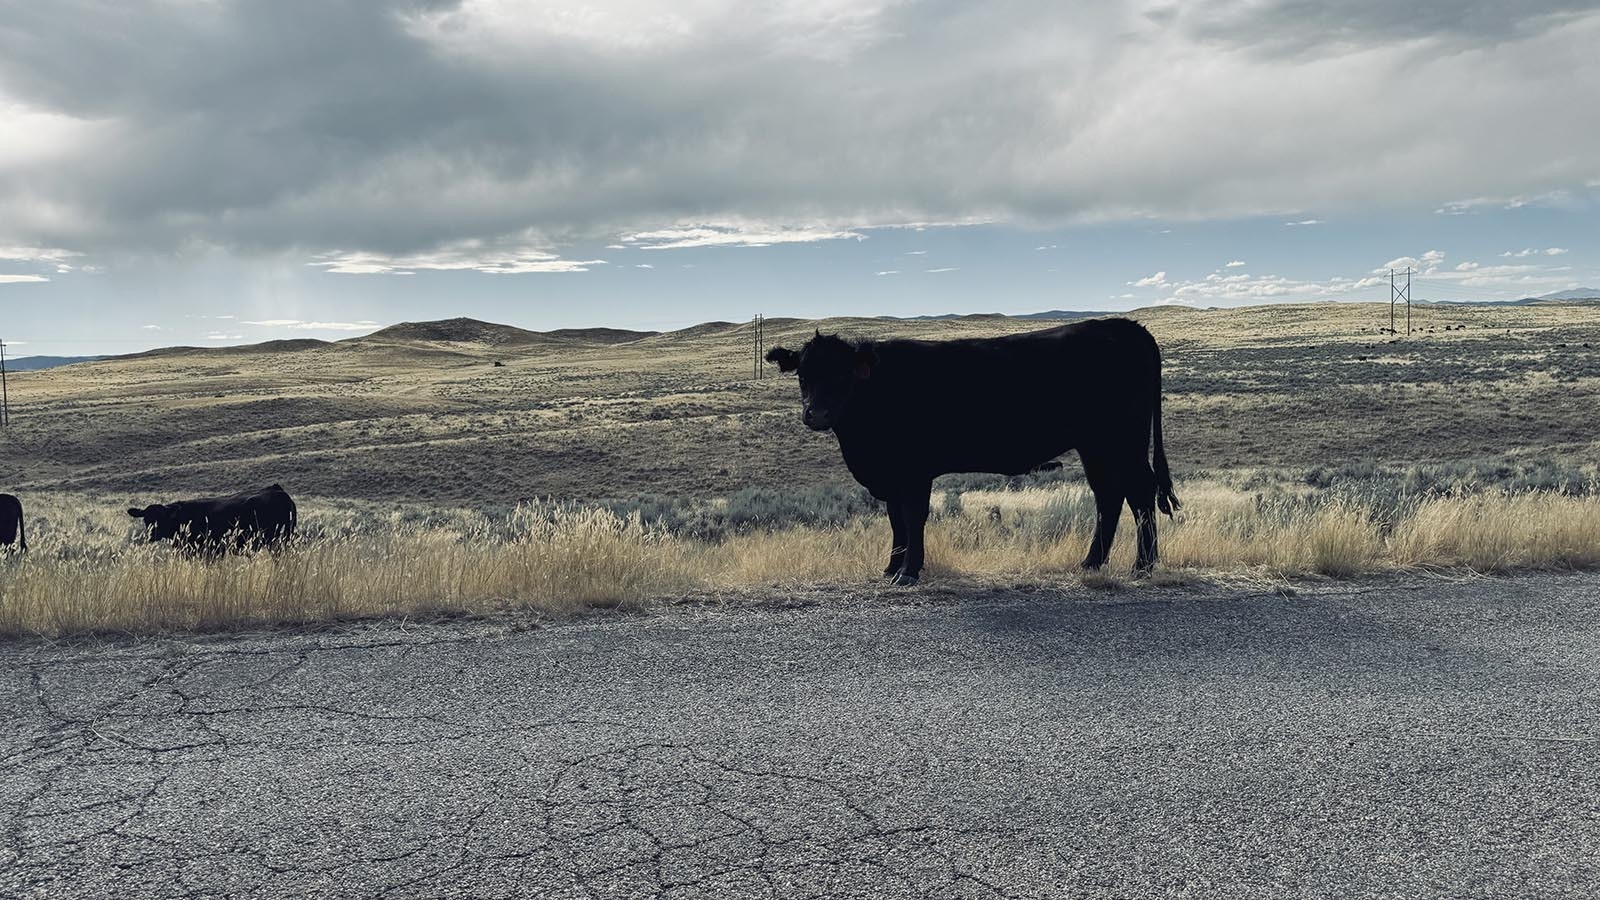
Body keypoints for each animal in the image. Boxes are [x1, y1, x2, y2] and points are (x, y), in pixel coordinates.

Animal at [768, 318, 1184, 586]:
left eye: (842, 374)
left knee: (1139, 493)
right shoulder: (892, 475)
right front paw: (891, 567)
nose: (815, 414)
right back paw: (1092, 563)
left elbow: (912, 517)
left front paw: (908, 572)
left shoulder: (914, 472)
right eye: (802, 374)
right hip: (1096, 446)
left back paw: (1142, 567)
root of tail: (1129, 327)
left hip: (1121, 442)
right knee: (1109, 497)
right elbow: (895, 519)